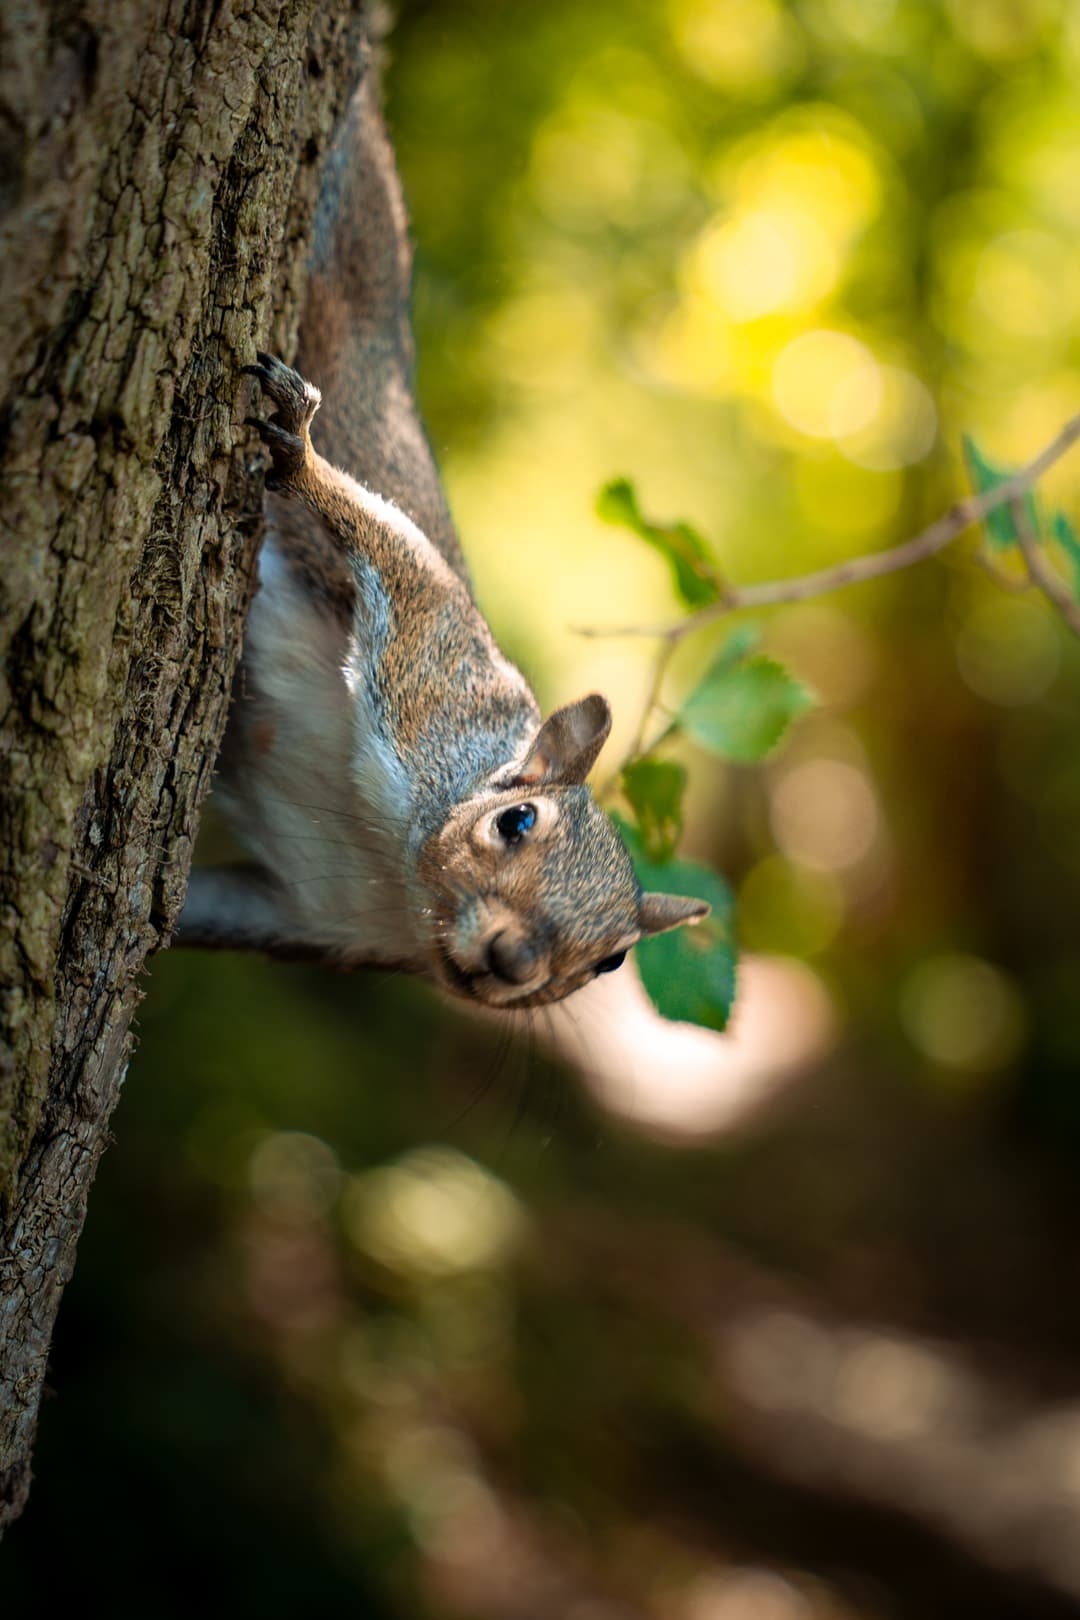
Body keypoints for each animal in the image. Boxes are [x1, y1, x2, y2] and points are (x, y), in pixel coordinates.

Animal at [176, 73, 707, 1010]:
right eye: (516, 819)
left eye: (611, 961)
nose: (514, 962)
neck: (399, 871)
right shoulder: (431, 673)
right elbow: (396, 553)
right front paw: (302, 456)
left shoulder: (308, 915)